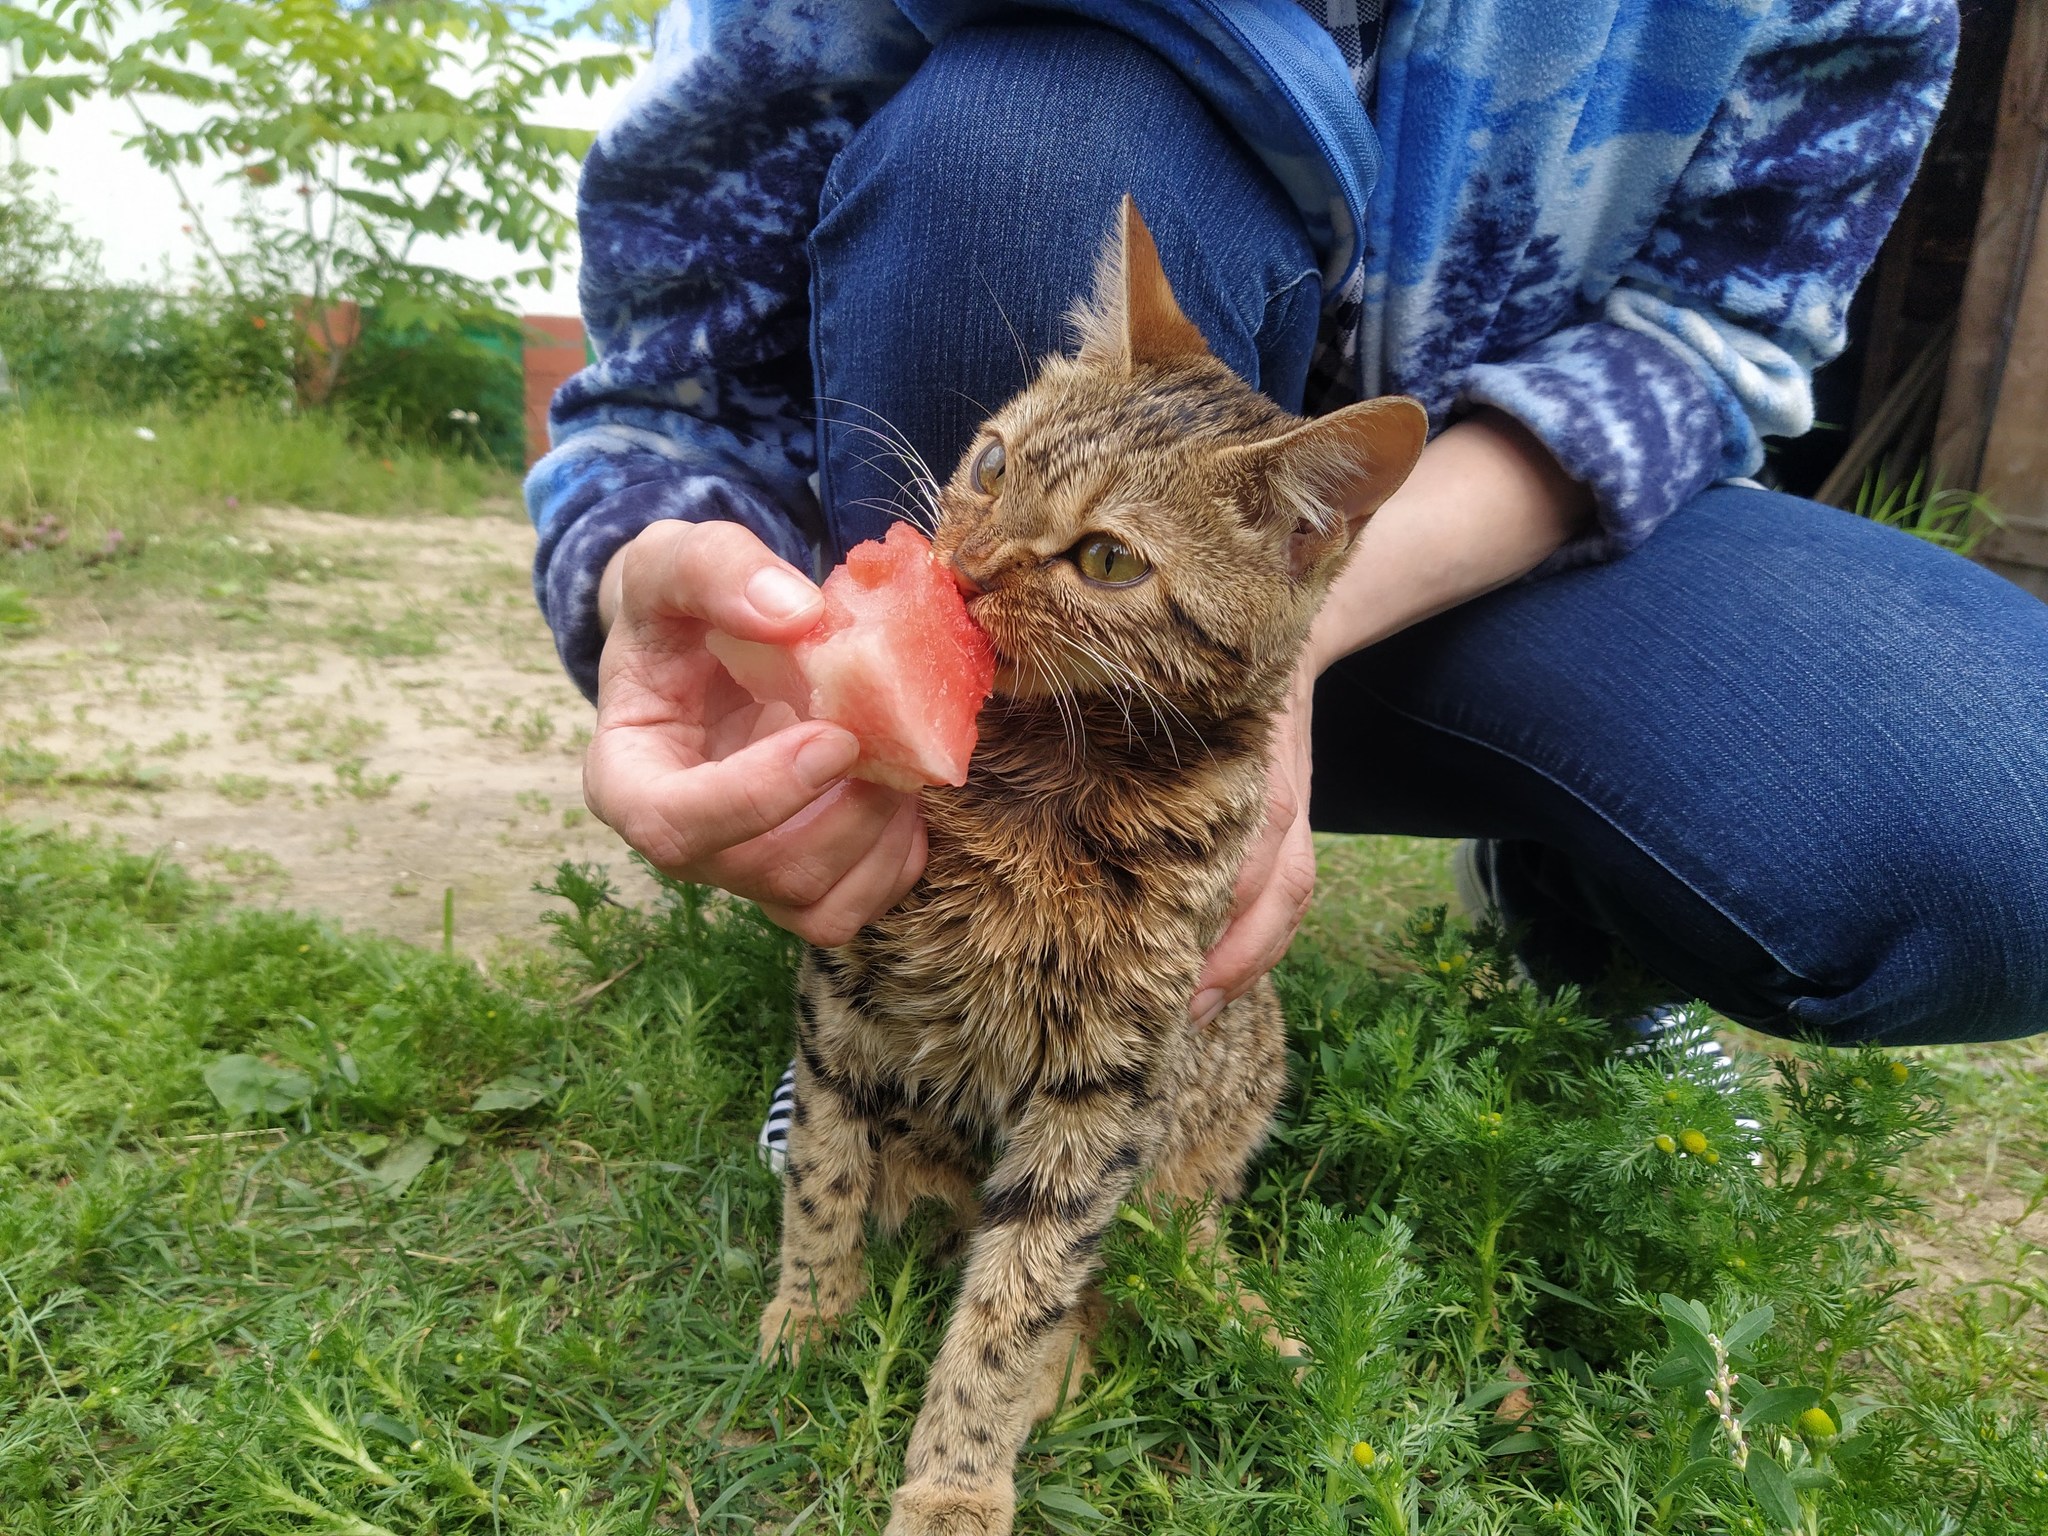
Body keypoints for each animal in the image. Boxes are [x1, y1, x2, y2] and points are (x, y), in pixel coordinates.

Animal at [757, 198, 1425, 1531]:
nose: (958, 574)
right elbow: (822, 1168)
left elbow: (1018, 1296)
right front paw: (808, 1309)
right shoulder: (844, 990)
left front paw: (956, 1480)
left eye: (1108, 561)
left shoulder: (1103, 1084)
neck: (1041, 781)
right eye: (994, 466)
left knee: (1121, 1272)